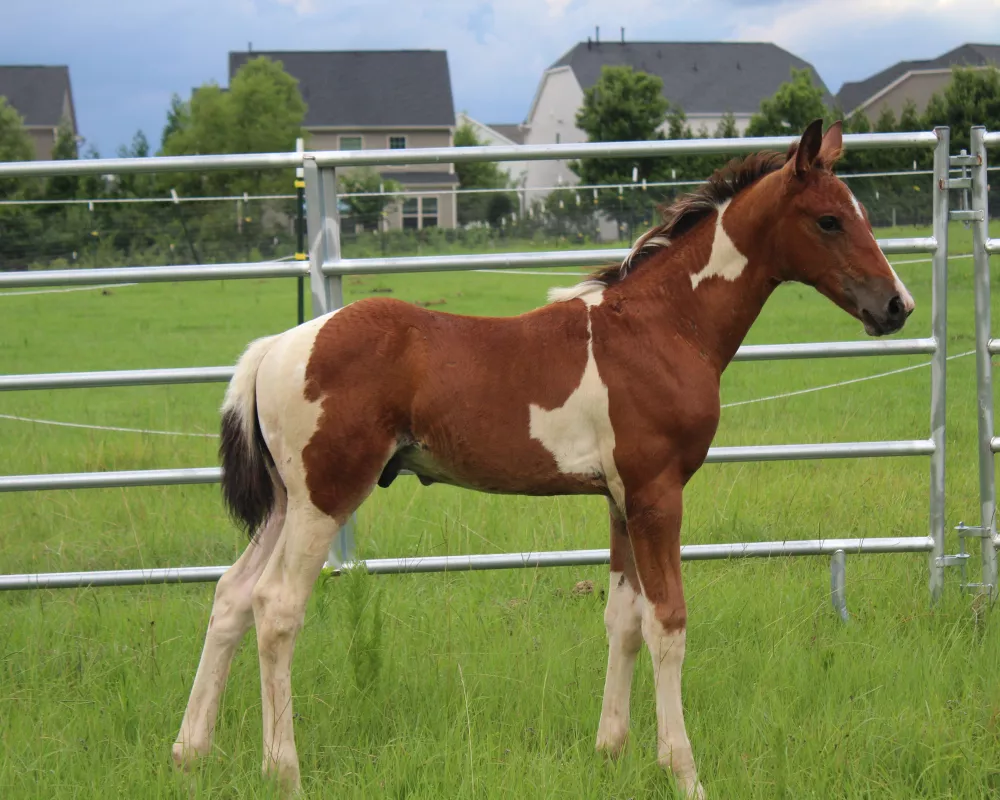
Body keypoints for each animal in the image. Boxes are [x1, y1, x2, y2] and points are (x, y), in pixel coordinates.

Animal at [172, 119, 916, 792]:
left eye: (860, 213)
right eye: (828, 220)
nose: (896, 305)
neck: (662, 327)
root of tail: (276, 348)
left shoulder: (620, 500)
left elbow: (623, 620)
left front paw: (611, 752)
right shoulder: (657, 494)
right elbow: (668, 622)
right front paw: (683, 771)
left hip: (287, 502)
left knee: (231, 595)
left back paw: (191, 752)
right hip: (326, 498)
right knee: (276, 607)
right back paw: (283, 770)